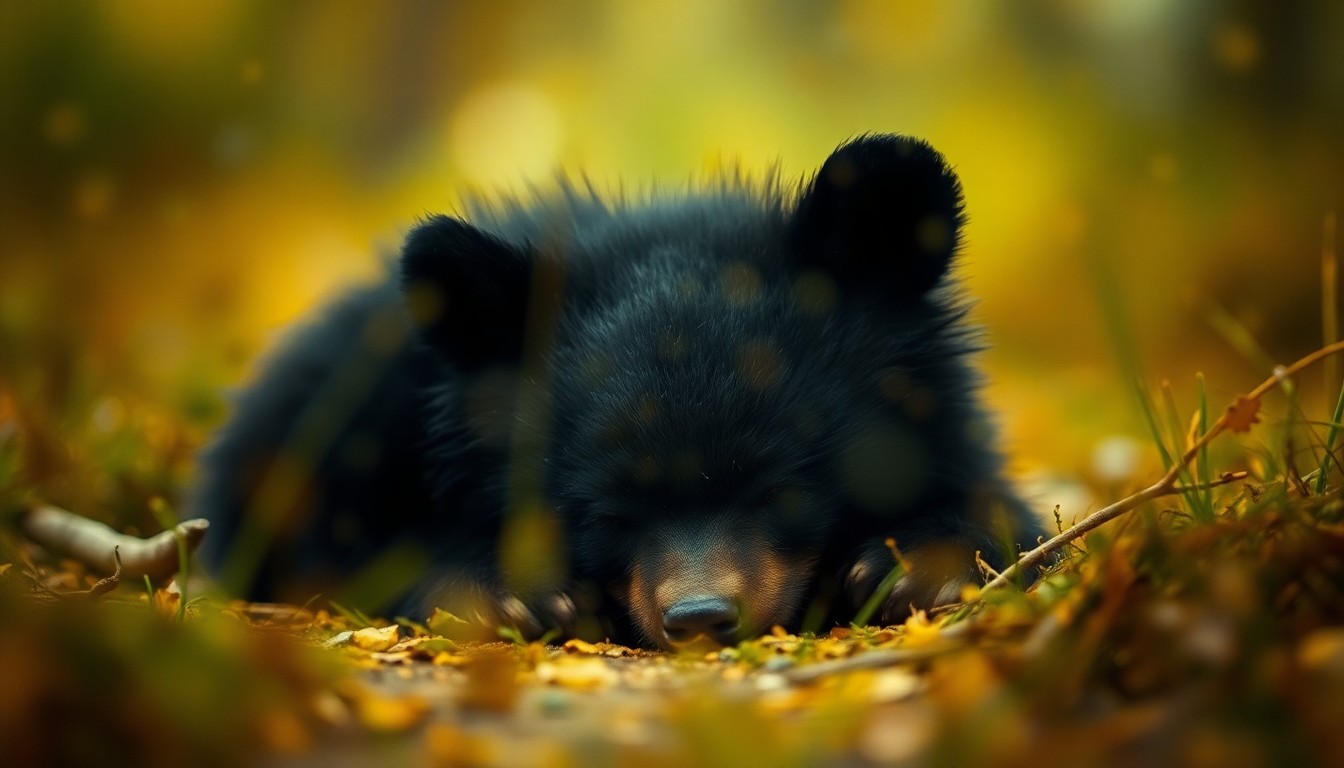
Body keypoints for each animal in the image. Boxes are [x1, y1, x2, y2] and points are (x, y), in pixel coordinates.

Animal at [193, 134, 1046, 649]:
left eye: (784, 490)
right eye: (605, 513)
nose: (698, 616)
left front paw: (912, 566)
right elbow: (357, 546)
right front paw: (519, 593)